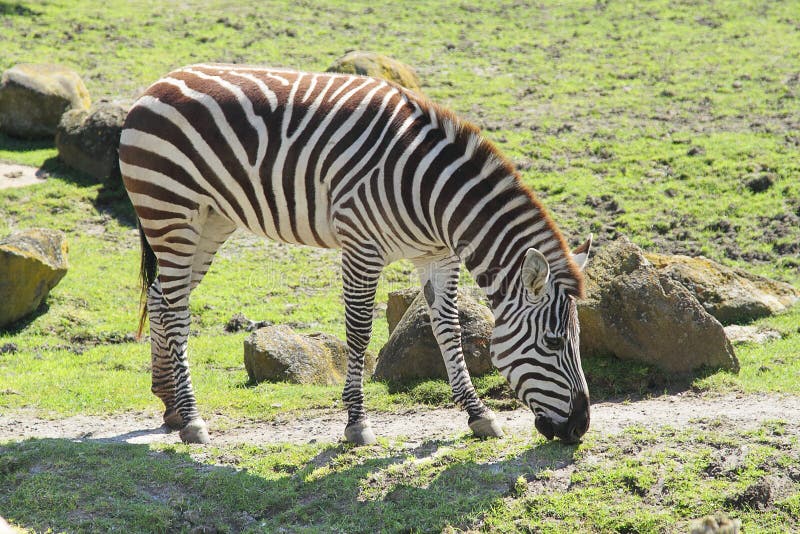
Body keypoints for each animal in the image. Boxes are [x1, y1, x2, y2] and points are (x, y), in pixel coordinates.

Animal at [120, 63, 592, 448]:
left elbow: (449, 331)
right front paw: (356, 423)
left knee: (161, 300)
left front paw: (478, 416)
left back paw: (171, 407)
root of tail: (157, 84)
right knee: (176, 311)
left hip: (210, 221)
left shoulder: (438, 256)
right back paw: (192, 420)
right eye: (553, 342)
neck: (433, 195)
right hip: (170, 211)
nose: (580, 427)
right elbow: (360, 331)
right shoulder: (362, 247)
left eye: (576, 339)